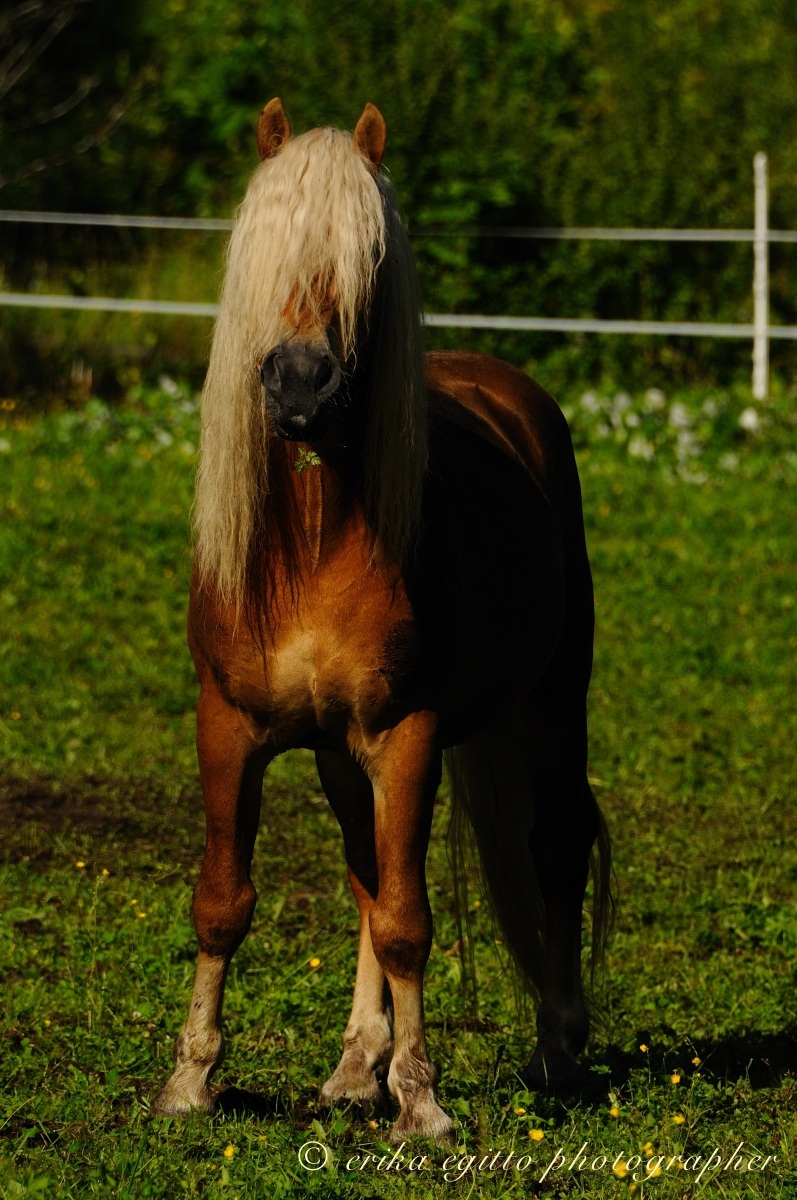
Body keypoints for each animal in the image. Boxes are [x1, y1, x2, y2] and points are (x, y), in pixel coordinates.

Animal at [152, 99, 612, 1142]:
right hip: (338, 754)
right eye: (265, 254)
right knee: (366, 871)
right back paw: (355, 1067)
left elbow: (408, 920)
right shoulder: (227, 725)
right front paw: (190, 1081)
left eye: (368, 260)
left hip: (551, 702)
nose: (299, 385)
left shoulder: (406, 736)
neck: (313, 540)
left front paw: (424, 1100)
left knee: (554, 844)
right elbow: (225, 902)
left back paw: (556, 1045)